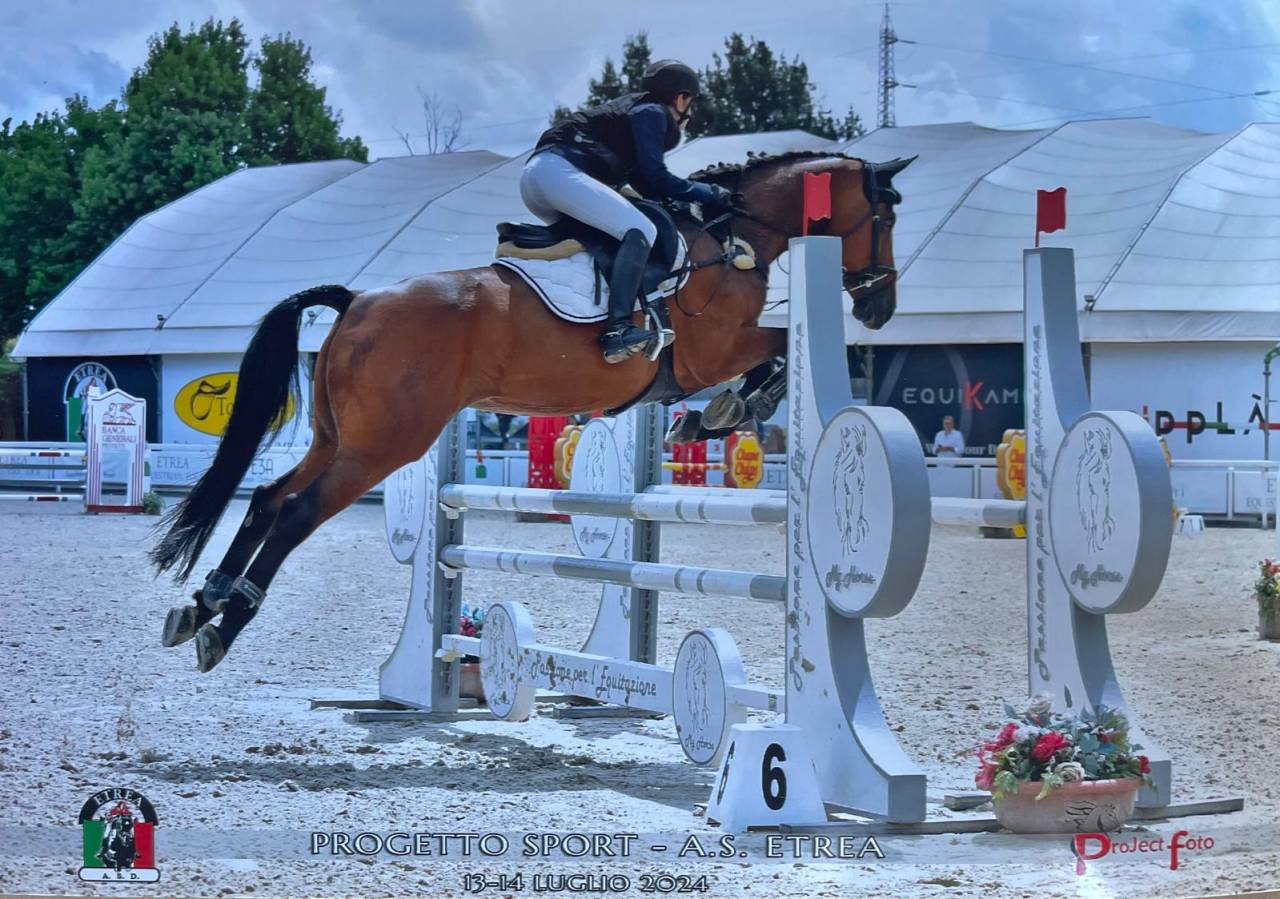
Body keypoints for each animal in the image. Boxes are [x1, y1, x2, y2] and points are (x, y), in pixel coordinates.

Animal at [150, 150, 914, 672]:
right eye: (886, 218)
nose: (882, 307)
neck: (733, 241)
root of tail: (359, 299)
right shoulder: (711, 348)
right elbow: (776, 349)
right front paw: (723, 410)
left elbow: (771, 354)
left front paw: (709, 416)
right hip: (384, 445)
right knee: (296, 511)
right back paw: (223, 625)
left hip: (339, 437)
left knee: (266, 497)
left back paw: (202, 602)